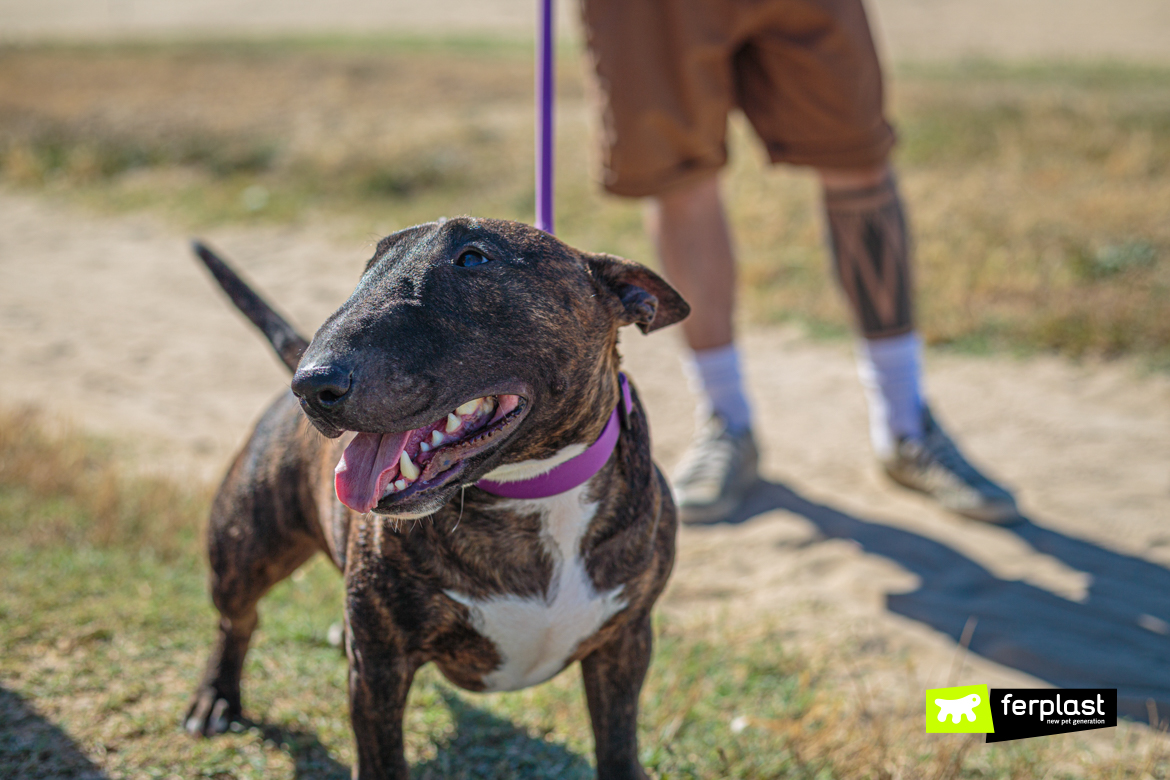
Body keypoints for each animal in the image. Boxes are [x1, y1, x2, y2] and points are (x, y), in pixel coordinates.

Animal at [184, 218, 683, 780]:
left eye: (473, 258)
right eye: (370, 265)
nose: (312, 385)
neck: (534, 492)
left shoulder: (625, 644)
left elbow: (618, 745)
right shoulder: (379, 665)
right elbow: (382, 760)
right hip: (243, 549)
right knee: (237, 619)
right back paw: (217, 696)